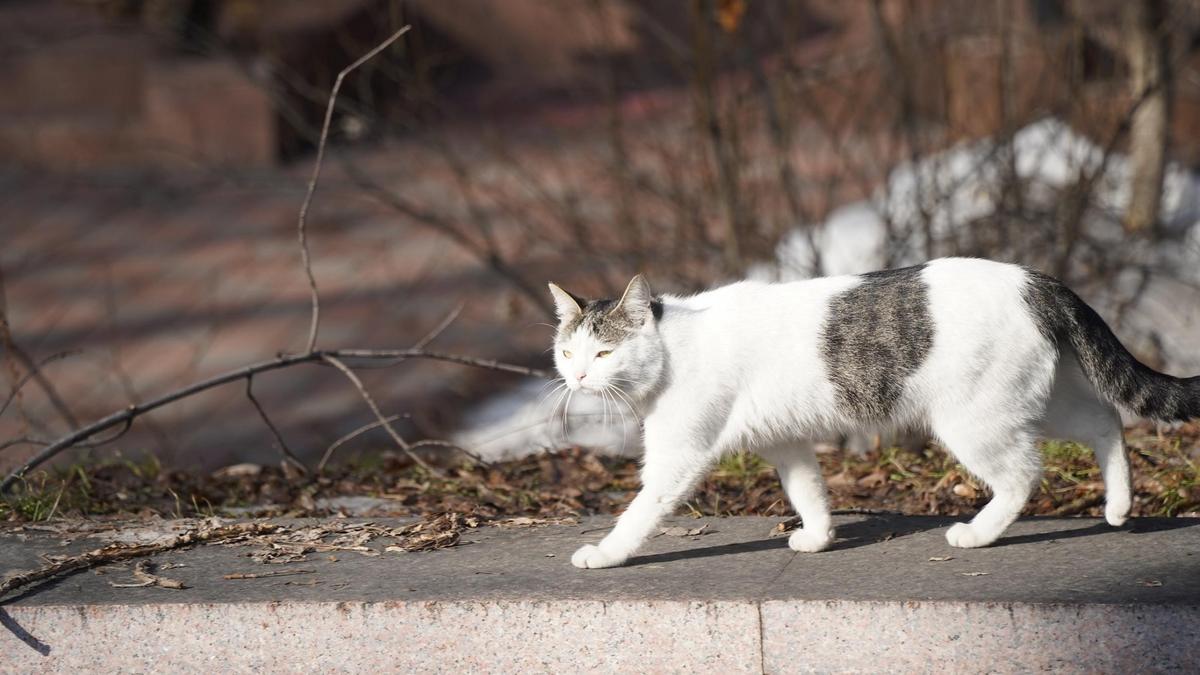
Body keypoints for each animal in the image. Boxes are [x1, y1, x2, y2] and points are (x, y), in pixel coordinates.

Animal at [547, 257, 1200, 566]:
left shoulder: (678, 457)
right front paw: (818, 538)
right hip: (1043, 399)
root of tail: (1036, 280)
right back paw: (1118, 506)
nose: (576, 376)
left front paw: (604, 553)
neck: (673, 347)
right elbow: (808, 491)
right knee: (1107, 421)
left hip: (974, 419)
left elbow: (639, 512)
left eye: (603, 352)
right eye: (567, 350)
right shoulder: (786, 443)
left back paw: (978, 534)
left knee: (1023, 476)